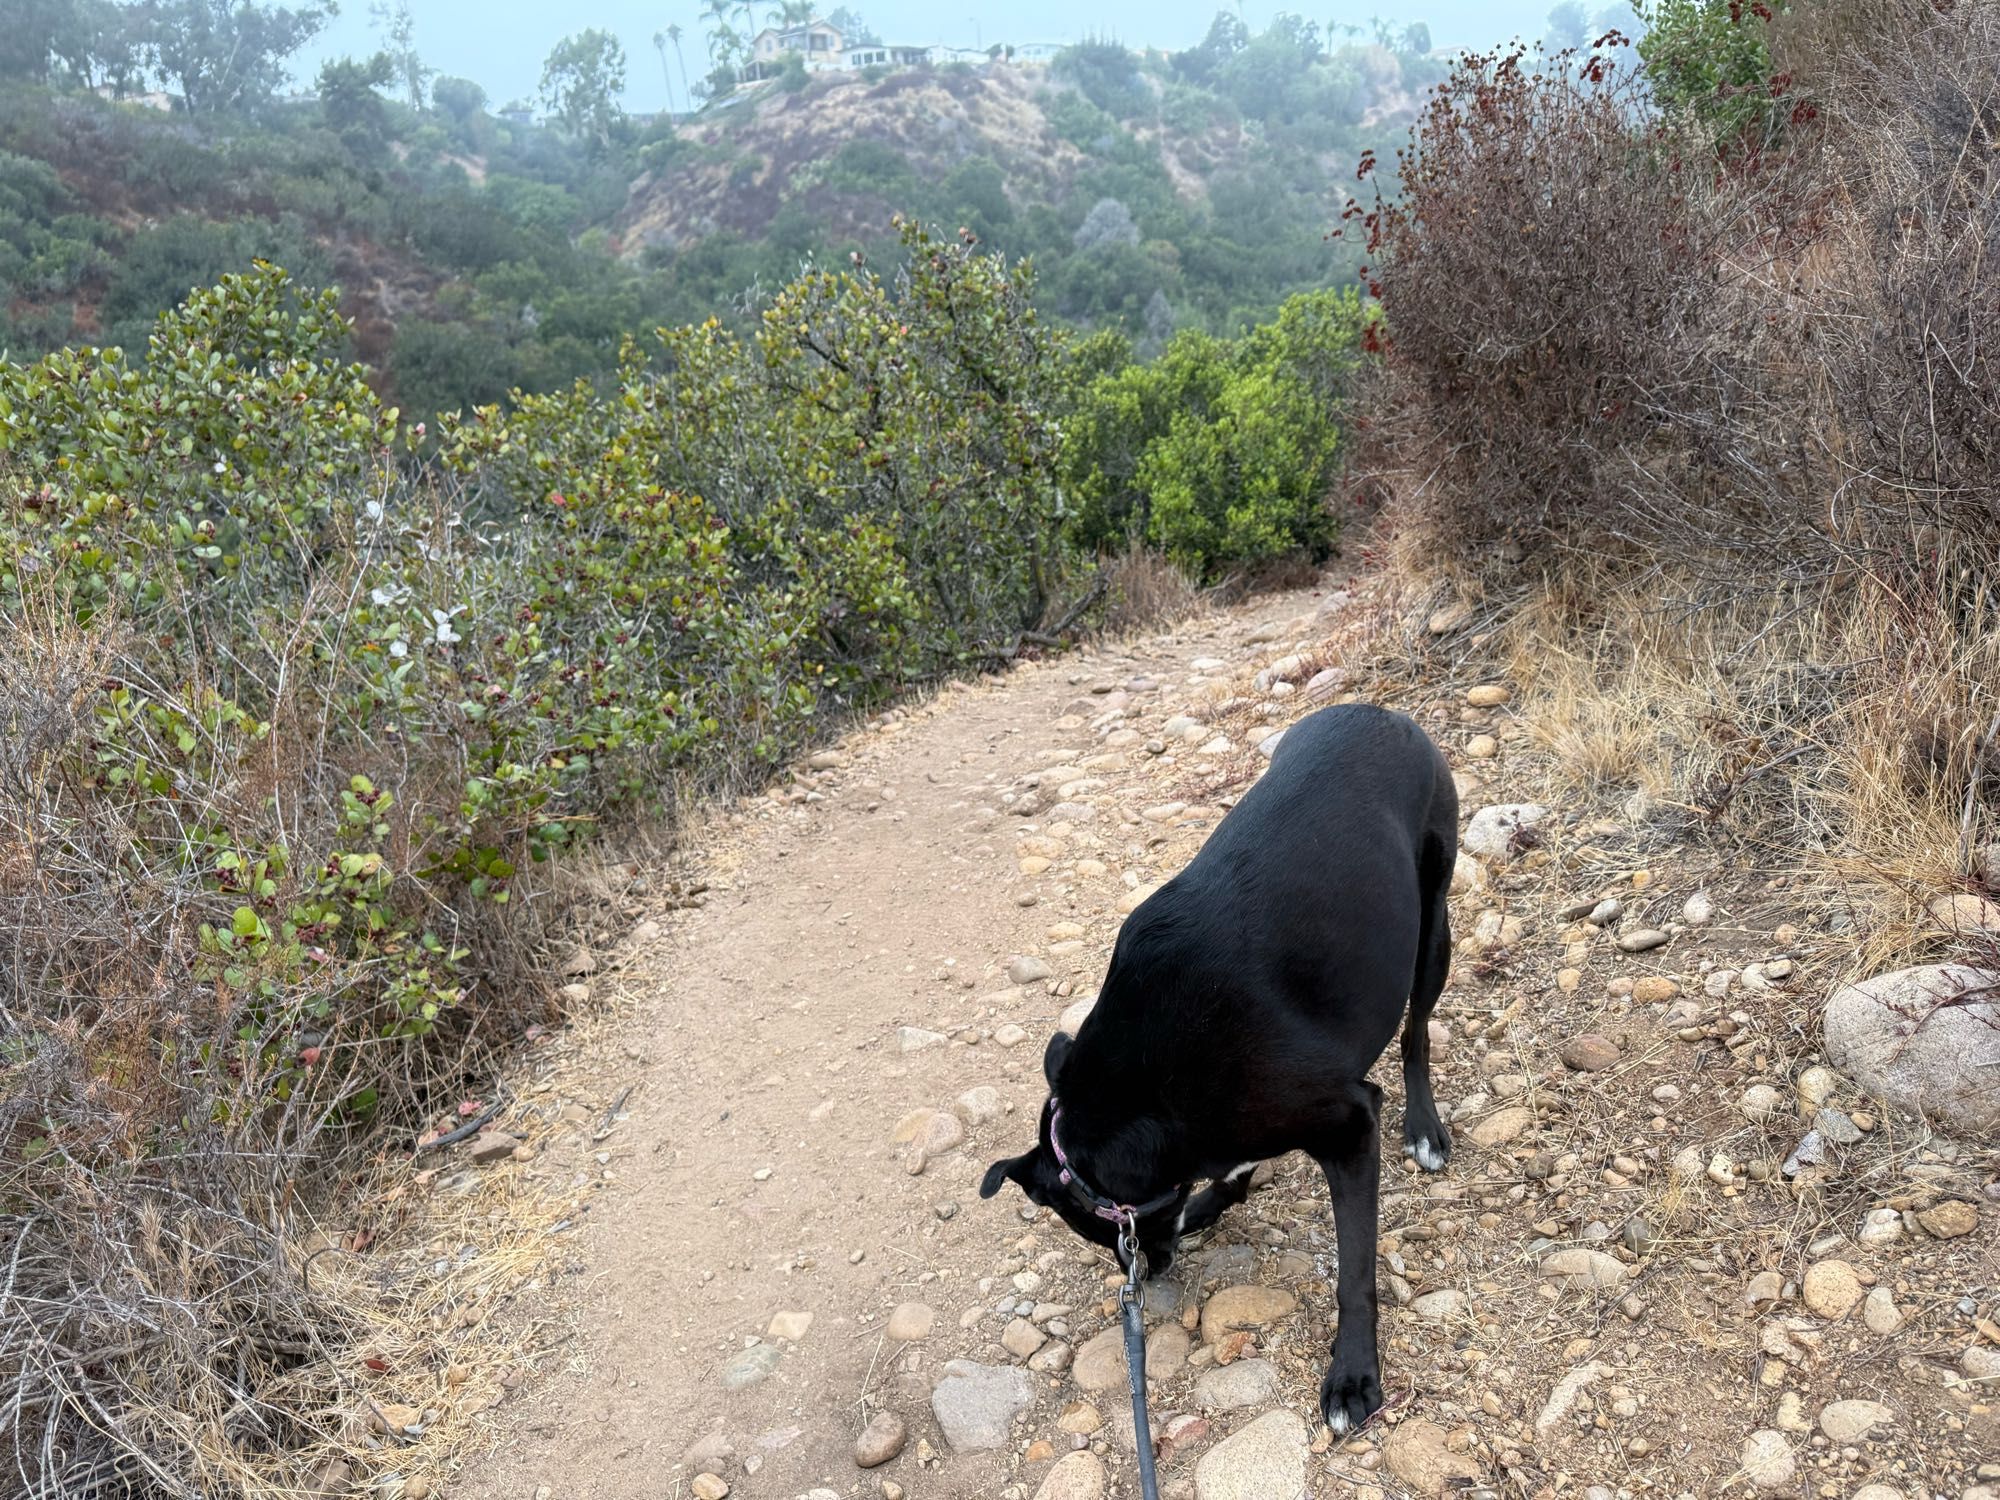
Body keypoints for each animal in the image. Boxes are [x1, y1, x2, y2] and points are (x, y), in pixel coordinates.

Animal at [980, 704, 1456, 1432]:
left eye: (1105, 1231)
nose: (1149, 1273)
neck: (1142, 1087)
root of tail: (1381, 711)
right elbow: (1234, 1169)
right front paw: (1209, 1202)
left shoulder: (1349, 1124)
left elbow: (1354, 1270)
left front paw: (1353, 1375)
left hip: (1433, 925)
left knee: (1418, 1032)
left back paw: (1426, 1127)